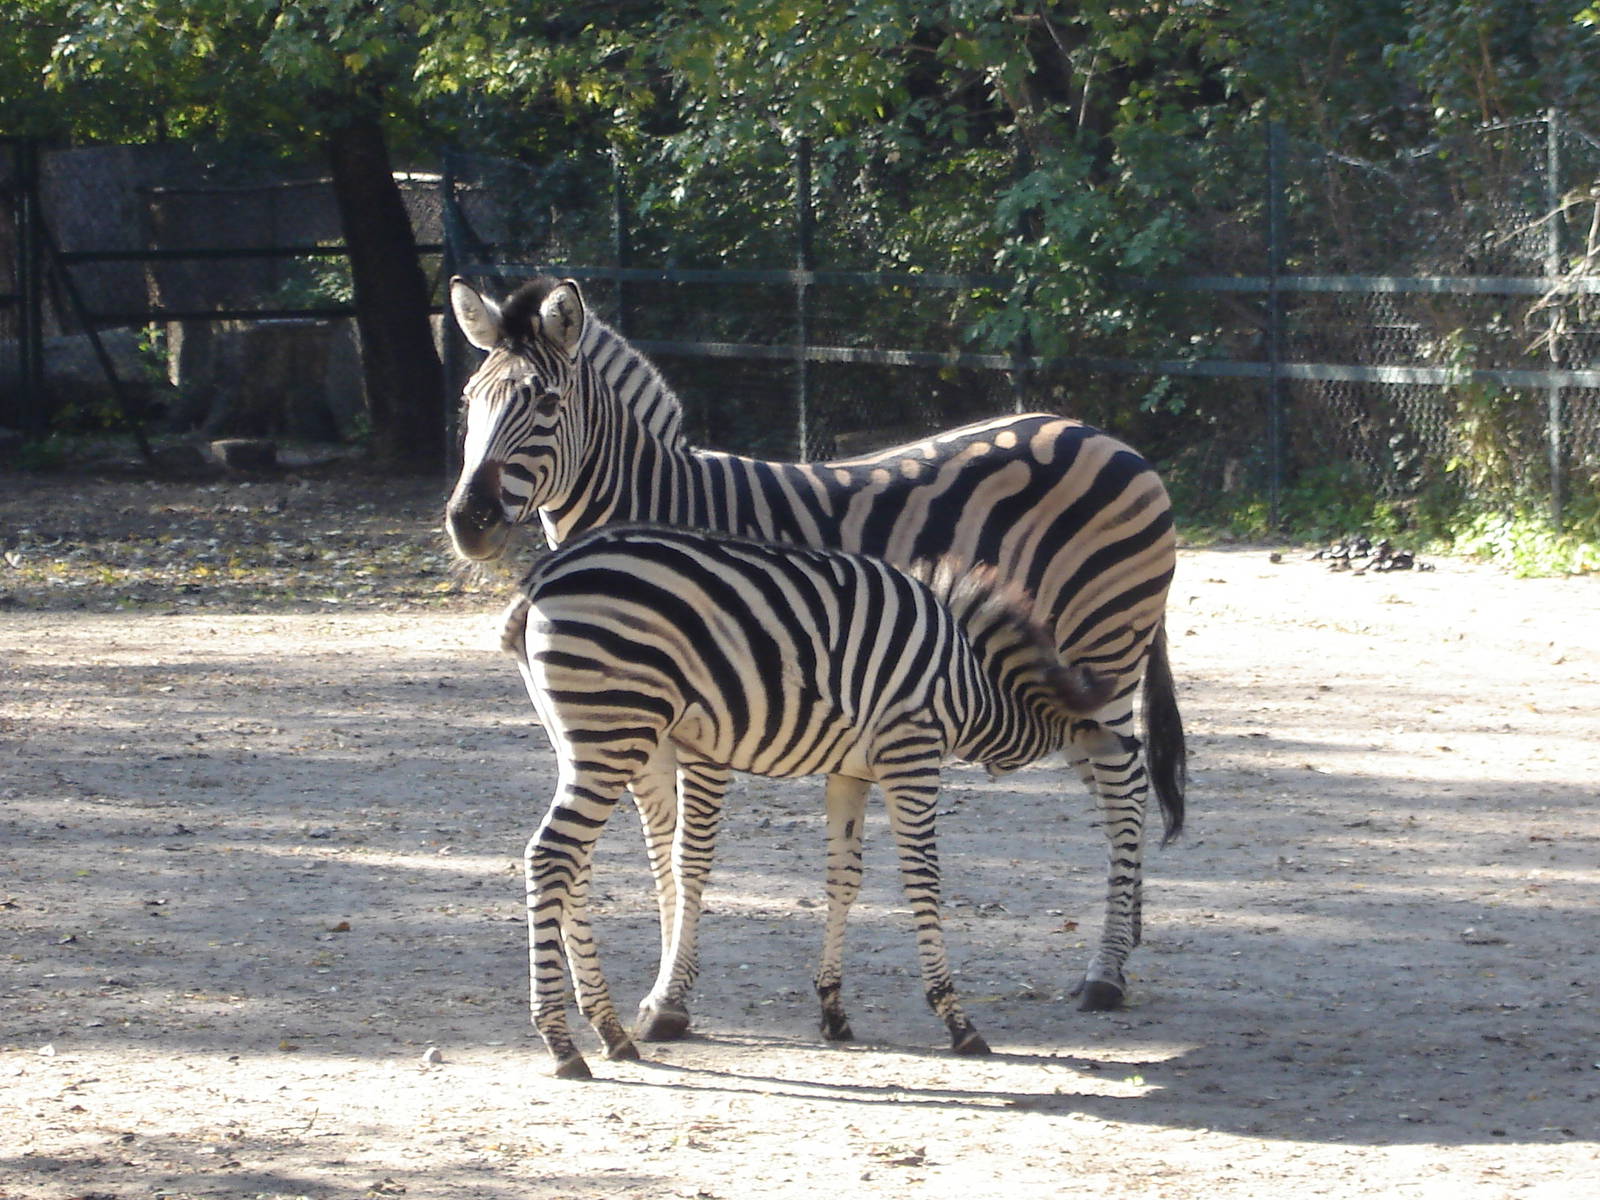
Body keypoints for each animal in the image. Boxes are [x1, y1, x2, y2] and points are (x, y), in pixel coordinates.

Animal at [502, 522, 1114, 1078]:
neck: (971, 685)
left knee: (574, 865)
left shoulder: (850, 772)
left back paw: (609, 1030)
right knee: (550, 855)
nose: (1126, 749)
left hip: (584, 739)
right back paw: (562, 1045)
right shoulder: (911, 753)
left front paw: (833, 1011)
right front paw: (956, 1019)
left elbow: (844, 878)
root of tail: (541, 577)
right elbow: (924, 880)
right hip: (615, 729)